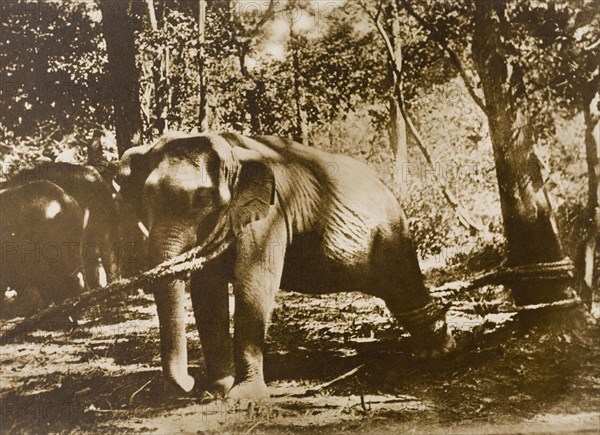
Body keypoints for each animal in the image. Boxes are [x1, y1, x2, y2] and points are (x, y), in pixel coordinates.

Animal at [117, 132, 454, 402]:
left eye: (203, 198)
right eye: (146, 196)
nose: (188, 382)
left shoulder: (271, 214)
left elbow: (254, 282)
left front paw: (243, 398)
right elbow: (207, 293)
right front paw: (214, 392)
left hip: (392, 232)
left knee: (404, 285)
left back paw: (438, 351)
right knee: (399, 294)